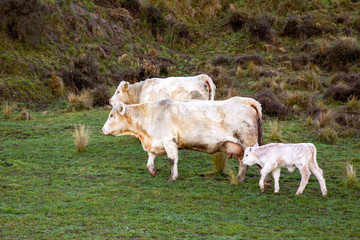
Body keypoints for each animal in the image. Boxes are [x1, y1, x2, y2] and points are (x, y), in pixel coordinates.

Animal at [102, 96, 262, 181]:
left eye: (112, 115)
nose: (102, 130)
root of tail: (245, 100)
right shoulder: (154, 143)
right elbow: (149, 160)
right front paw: (153, 171)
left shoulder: (169, 141)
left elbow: (172, 160)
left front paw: (173, 177)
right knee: (243, 162)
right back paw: (240, 178)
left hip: (248, 144)